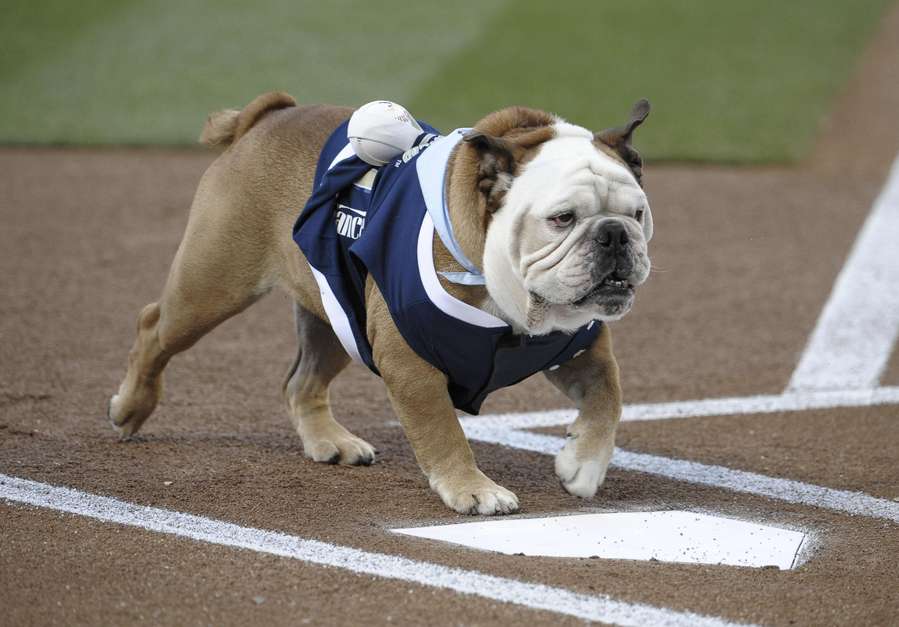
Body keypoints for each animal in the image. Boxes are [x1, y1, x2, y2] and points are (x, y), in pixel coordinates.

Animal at [107, 92, 652, 516]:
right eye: (562, 218)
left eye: (638, 213)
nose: (613, 234)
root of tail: (265, 118)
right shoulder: (409, 361)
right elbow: (442, 430)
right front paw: (473, 489)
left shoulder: (579, 347)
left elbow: (610, 394)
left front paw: (582, 464)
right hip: (212, 286)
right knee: (154, 328)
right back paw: (131, 407)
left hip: (338, 317)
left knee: (302, 381)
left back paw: (331, 442)